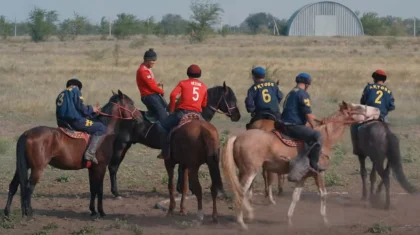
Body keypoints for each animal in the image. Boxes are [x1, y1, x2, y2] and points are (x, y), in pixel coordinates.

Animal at [4, 89, 143, 218]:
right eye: (131, 103)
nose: (140, 117)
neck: (105, 134)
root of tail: (26, 133)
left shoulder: (92, 169)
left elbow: (93, 189)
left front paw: (93, 211)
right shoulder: (101, 167)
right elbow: (100, 190)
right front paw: (101, 212)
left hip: (22, 166)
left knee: (14, 186)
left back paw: (7, 212)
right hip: (37, 168)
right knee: (29, 187)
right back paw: (29, 213)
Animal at [106, 81, 241, 198]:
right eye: (231, 98)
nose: (237, 116)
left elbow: (183, 168)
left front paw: (182, 189)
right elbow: (184, 168)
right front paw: (185, 189)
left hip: (125, 145)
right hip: (121, 145)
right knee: (113, 167)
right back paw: (116, 193)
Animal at [221, 101, 378, 229]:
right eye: (358, 107)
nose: (377, 110)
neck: (324, 139)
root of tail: (238, 137)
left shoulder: (303, 176)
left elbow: (295, 197)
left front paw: (289, 220)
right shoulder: (319, 173)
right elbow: (323, 194)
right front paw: (325, 222)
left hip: (243, 171)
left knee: (241, 191)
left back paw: (248, 215)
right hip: (250, 171)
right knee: (240, 192)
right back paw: (242, 222)